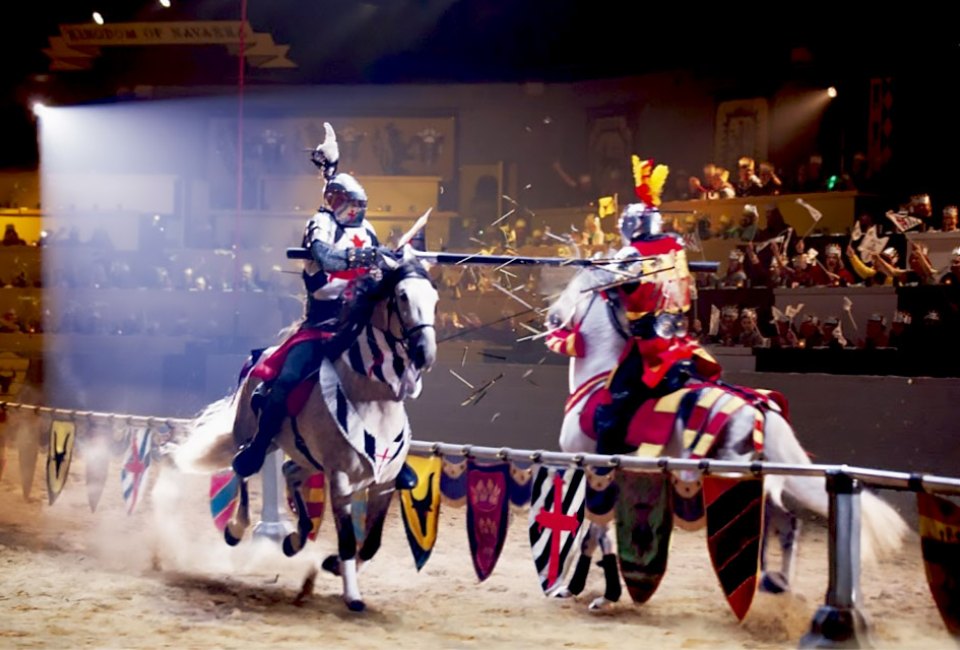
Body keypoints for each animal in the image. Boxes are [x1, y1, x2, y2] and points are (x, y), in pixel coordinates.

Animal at [173, 251, 438, 612]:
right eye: (402, 296)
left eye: (435, 299)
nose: (426, 353)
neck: (372, 397)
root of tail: (260, 356)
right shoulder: (340, 479)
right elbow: (347, 540)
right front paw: (352, 596)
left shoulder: (384, 484)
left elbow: (370, 544)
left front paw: (333, 566)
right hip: (252, 434)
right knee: (243, 466)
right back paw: (237, 527)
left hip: (303, 454)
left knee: (289, 472)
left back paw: (295, 539)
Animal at [548, 262, 908, 608]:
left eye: (574, 288)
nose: (552, 316)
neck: (602, 376)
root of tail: (761, 409)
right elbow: (596, 531)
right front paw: (585, 588)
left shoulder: (592, 467)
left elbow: (594, 531)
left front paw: (589, 591)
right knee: (788, 524)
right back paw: (779, 585)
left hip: (736, 477)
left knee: (764, 527)